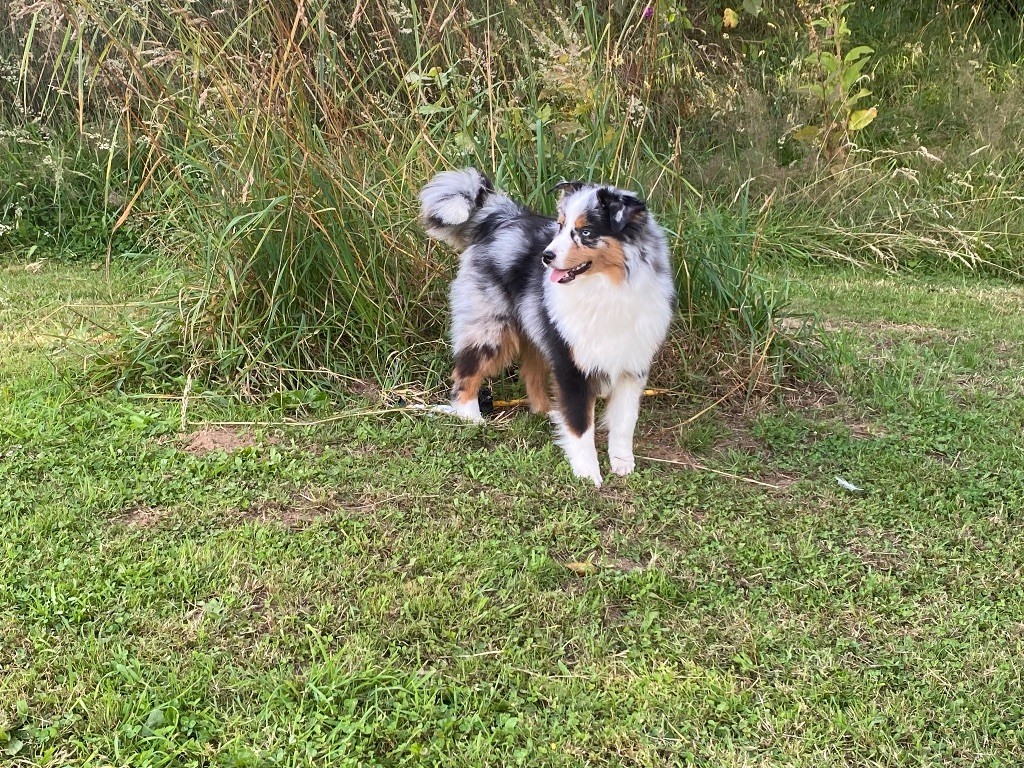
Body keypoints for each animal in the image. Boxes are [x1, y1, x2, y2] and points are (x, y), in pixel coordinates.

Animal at [419, 169, 675, 487]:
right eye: (561, 227)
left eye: (586, 232)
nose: (546, 256)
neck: (606, 288)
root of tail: (503, 216)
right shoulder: (573, 365)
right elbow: (580, 424)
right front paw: (588, 474)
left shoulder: (632, 364)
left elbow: (625, 421)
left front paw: (622, 462)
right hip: (491, 328)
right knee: (466, 372)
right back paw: (471, 419)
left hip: (537, 327)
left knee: (531, 372)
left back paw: (547, 412)